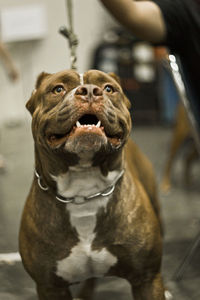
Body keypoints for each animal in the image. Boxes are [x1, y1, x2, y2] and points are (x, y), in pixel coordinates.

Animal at [19, 69, 165, 298]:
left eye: (108, 88)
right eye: (58, 89)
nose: (89, 90)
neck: (84, 190)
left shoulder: (146, 278)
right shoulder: (50, 287)